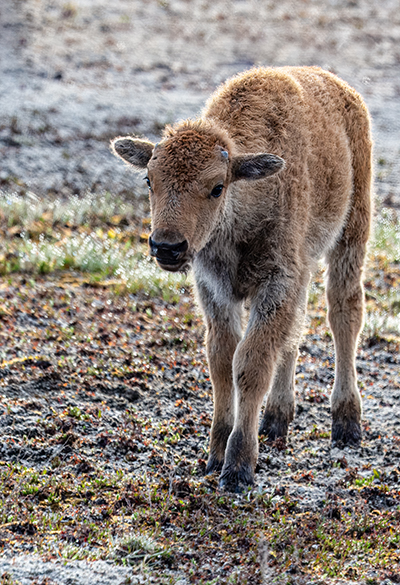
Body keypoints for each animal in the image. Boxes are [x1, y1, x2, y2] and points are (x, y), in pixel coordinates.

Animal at [111, 66, 372, 490]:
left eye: (217, 187)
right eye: (149, 180)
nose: (167, 246)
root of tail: (339, 86)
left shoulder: (276, 283)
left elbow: (250, 364)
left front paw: (238, 467)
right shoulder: (218, 291)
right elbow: (222, 362)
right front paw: (215, 454)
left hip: (352, 234)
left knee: (344, 314)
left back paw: (347, 424)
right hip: (304, 269)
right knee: (296, 332)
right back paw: (276, 420)